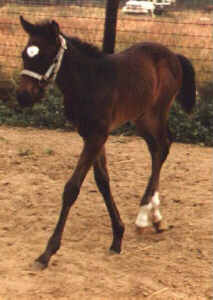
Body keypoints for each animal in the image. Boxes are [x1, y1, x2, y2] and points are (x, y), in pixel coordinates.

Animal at [17, 15, 196, 268]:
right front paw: (117, 237)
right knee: (159, 147)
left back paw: (144, 216)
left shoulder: (97, 135)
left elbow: (72, 188)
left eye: (46, 56)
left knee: (163, 146)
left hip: (156, 111)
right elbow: (102, 181)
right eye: (24, 55)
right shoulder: (90, 134)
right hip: (141, 116)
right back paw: (155, 217)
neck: (88, 82)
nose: (23, 96)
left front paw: (47, 252)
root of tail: (174, 55)